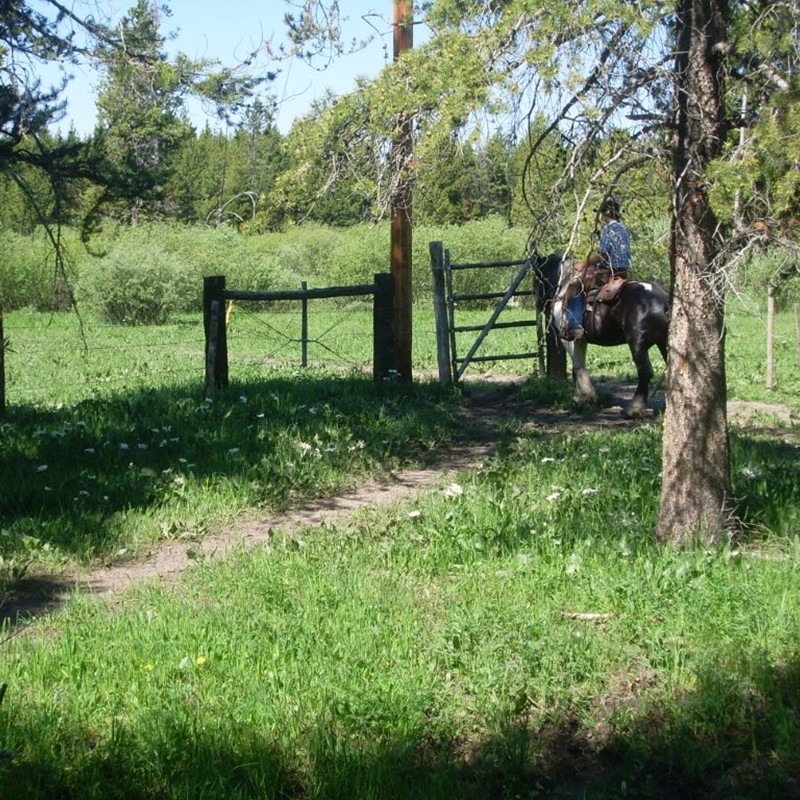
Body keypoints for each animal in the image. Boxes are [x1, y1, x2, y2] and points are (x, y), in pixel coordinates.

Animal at [532, 253, 669, 418]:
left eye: (537, 278)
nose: (538, 303)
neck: (563, 286)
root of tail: (664, 300)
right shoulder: (581, 340)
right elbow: (579, 367)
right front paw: (581, 397)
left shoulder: (569, 339)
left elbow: (577, 367)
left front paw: (585, 397)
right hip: (663, 342)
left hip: (637, 344)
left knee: (645, 371)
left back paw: (633, 408)